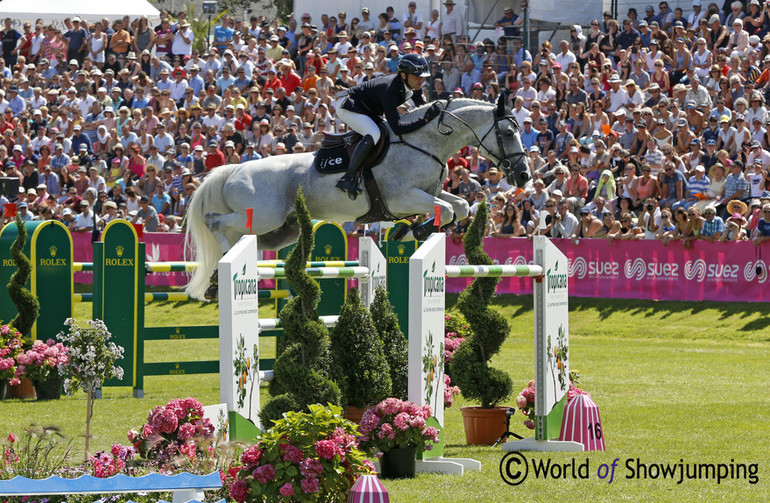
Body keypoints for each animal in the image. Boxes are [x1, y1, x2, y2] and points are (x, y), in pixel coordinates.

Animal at [184, 97, 528, 300]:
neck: (423, 143)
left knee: (240, 236)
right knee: (213, 221)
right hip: (261, 217)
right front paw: (411, 231)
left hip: (280, 230)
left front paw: (411, 231)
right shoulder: (403, 198)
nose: (523, 175)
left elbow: (460, 206)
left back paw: (216, 281)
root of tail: (234, 169)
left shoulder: (428, 193)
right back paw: (221, 266)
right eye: (508, 133)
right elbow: (445, 209)